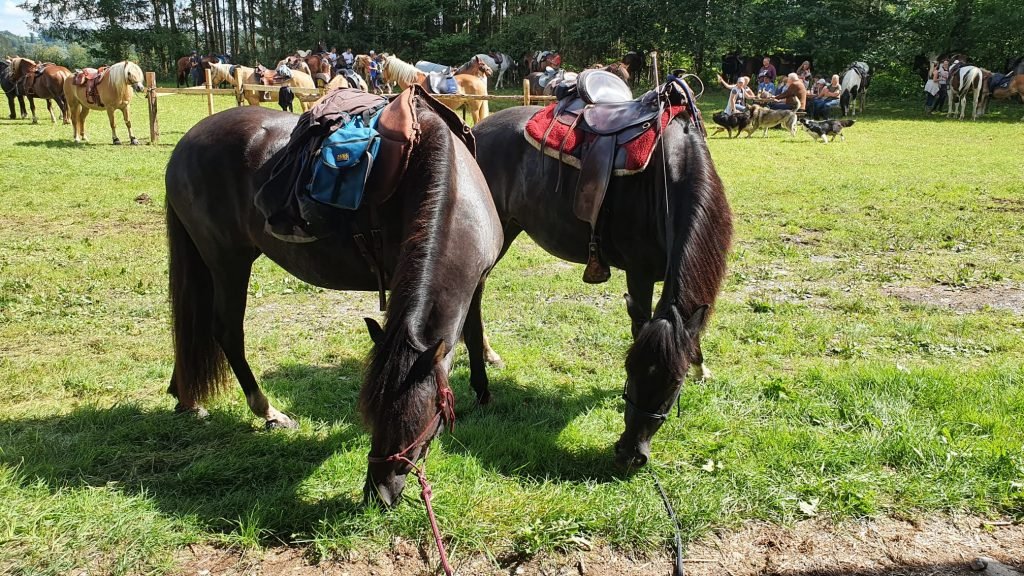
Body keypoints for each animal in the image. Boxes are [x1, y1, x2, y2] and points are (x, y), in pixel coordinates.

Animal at [164, 96, 503, 508]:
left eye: (415, 421)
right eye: (371, 414)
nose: (378, 494)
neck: (458, 191)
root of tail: (184, 145)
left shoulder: (477, 281)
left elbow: (474, 333)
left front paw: (483, 393)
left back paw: (186, 398)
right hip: (228, 260)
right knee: (226, 331)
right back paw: (268, 411)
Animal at [469, 88, 733, 470]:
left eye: (675, 382)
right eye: (629, 369)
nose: (631, 454)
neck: (667, 180)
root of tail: (473, 132)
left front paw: (701, 367)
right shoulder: (639, 273)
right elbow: (640, 325)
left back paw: (489, 355)